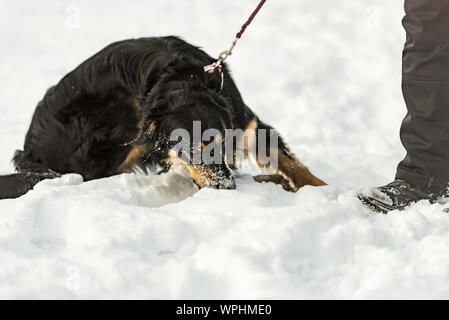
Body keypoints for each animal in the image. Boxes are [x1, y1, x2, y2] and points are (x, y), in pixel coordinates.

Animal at [0, 36, 326, 199]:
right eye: (191, 149)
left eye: (223, 144)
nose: (226, 188)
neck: (185, 79)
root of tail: (29, 151)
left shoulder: (248, 124)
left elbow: (292, 164)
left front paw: (324, 189)